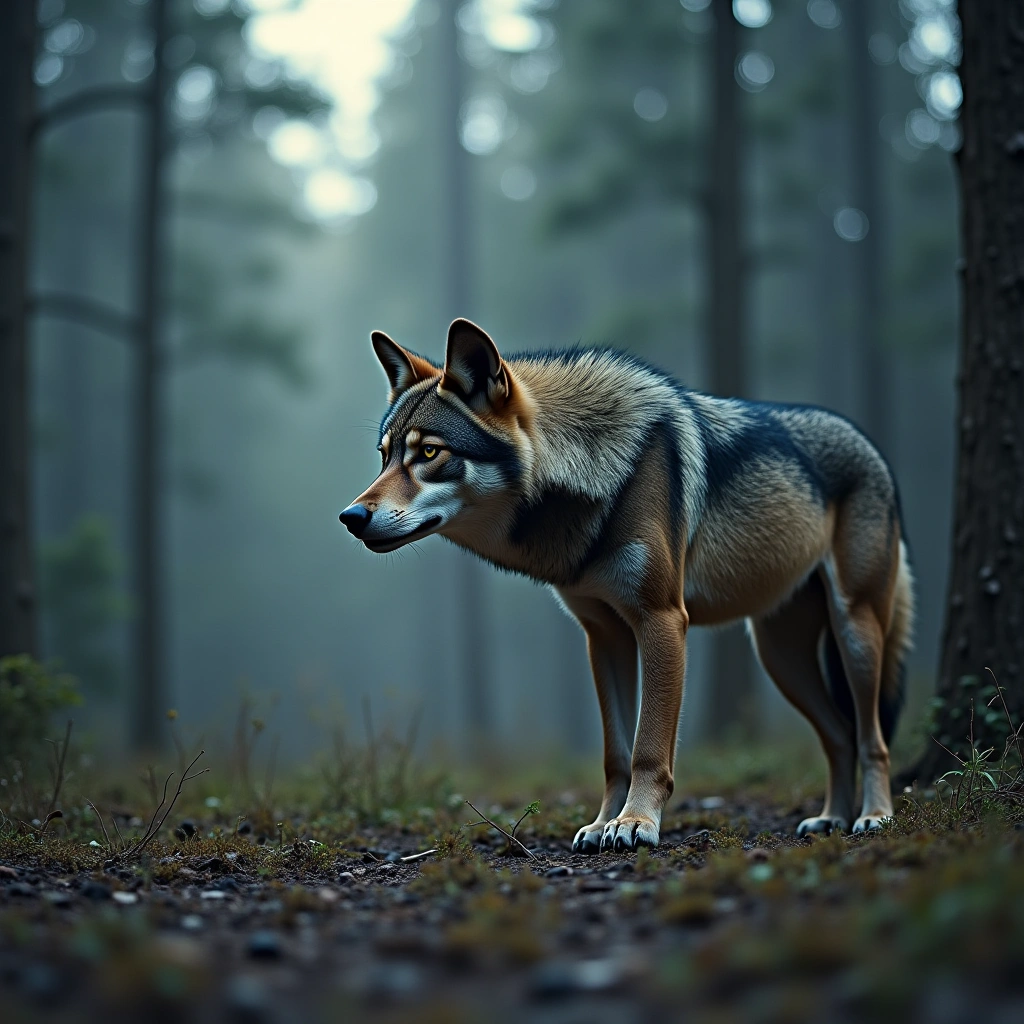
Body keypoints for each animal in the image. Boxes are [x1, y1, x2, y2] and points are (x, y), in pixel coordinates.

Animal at [340, 319, 914, 853]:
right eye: (385, 455)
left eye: (429, 454)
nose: (350, 517)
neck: (595, 479)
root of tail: (874, 448)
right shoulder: (605, 636)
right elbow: (614, 753)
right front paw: (601, 824)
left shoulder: (662, 621)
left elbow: (648, 748)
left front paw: (636, 823)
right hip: (780, 658)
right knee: (839, 735)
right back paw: (830, 818)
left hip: (854, 632)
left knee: (873, 737)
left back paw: (873, 817)